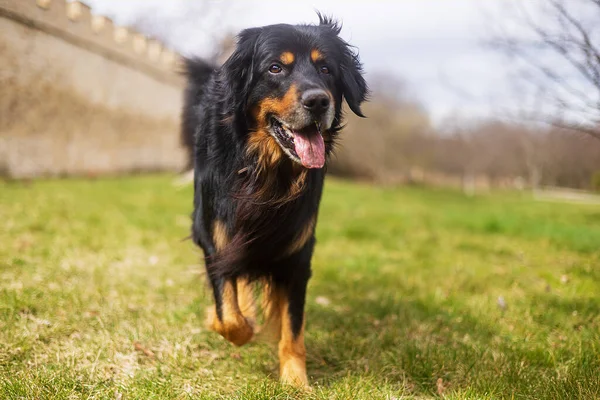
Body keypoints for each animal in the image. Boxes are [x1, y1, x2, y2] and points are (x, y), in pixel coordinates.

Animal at [183, 14, 368, 388]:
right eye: (275, 68)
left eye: (325, 68)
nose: (318, 101)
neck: (267, 172)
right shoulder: (215, 236)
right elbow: (230, 315)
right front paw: (228, 321)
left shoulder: (297, 251)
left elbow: (292, 329)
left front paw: (296, 380)